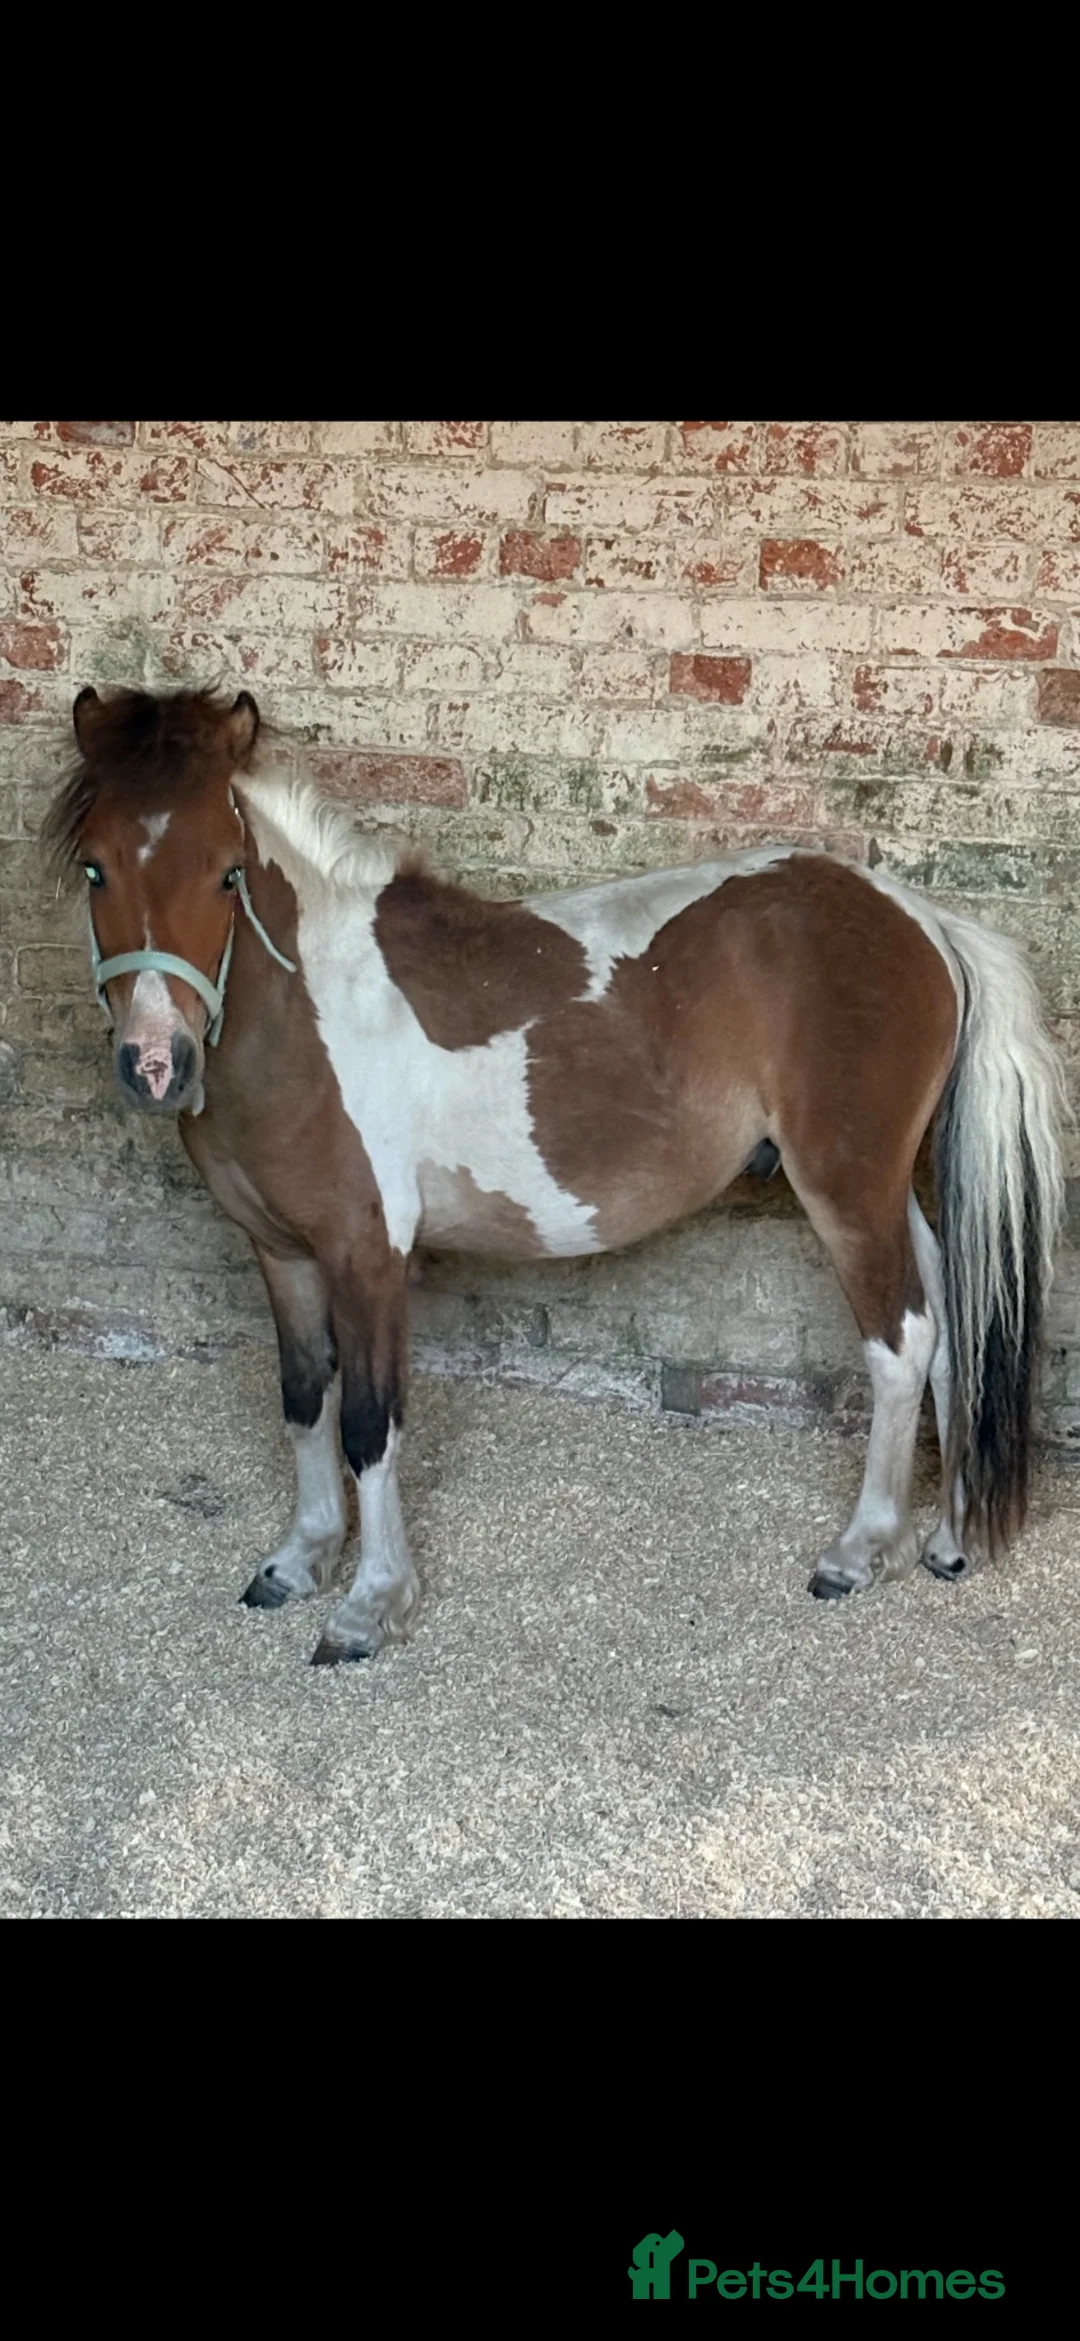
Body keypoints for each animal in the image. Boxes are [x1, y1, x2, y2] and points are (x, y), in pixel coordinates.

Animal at [42, 684, 1066, 1666]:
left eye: (227, 871)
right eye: (94, 867)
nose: (156, 1063)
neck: (310, 1007)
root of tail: (921, 917)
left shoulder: (367, 1253)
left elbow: (370, 1422)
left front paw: (371, 1606)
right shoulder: (281, 1252)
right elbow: (304, 1399)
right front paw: (300, 1559)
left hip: (845, 1187)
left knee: (903, 1345)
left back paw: (858, 1551)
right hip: (885, 1190)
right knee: (953, 1322)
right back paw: (948, 1539)